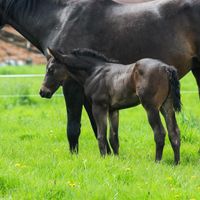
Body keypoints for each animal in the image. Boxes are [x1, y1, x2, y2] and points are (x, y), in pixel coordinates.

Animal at [39, 48, 182, 164]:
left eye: (50, 69)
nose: (42, 92)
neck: (94, 72)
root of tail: (166, 68)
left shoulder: (99, 107)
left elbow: (101, 135)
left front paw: (103, 159)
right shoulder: (113, 110)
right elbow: (113, 138)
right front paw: (115, 159)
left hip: (151, 108)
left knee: (160, 133)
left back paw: (157, 161)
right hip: (166, 106)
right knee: (174, 132)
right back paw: (176, 163)